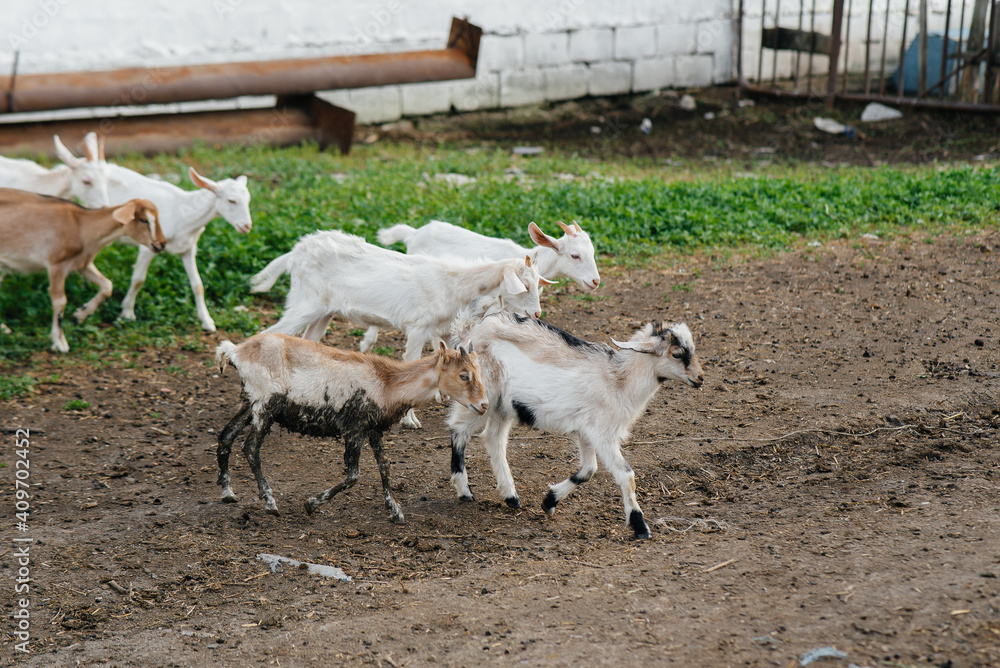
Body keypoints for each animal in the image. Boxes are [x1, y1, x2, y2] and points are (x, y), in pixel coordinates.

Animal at [0, 189, 164, 352]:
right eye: (144, 220)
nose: (161, 244)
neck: (81, 226)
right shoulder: (56, 263)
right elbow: (60, 301)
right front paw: (59, 343)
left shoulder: (82, 264)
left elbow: (107, 286)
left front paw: (79, 315)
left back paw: (4, 328)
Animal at [107, 164, 252, 331]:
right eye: (231, 201)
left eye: (248, 200)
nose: (247, 226)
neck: (183, 214)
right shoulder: (148, 247)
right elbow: (138, 280)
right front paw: (127, 313)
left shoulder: (188, 248)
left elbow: (198, 285)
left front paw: (207, 321)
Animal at [214, 333, 488, 524]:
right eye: (463, 375)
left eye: (479, 371)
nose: (484, 405)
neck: (385, 382)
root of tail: (235, 351)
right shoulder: (354, 429)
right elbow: (353, 475)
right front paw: (311, 503)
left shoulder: (373, 429)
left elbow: (384, 466)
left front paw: (396, 512)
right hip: (265, 405)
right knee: (250, 447)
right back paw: (270, 502)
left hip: (248, 402)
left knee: (226, 436)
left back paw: (228, 492)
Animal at [250, 229, 546, 428]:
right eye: (524, 285)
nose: (537, 313)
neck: (452, 284)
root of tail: (295, 253)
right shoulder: (418, 327)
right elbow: (412, 361)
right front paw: (410, 419)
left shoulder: (443, 328)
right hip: (305, 303)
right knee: (266, 334)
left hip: (323, 312)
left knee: (309, 341)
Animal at [447, 304, 703, 539]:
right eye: (677, 354)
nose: (700, 378)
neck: (617, 380)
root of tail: (471, 330)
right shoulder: (603, 434)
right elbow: (626, 475)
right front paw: (640, 526)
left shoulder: (586, 433)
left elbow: (588, 470)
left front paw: (549, 501)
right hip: (481, 395)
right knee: (459, 429)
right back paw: (464, 490)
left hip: (503, 405)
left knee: (493, 438)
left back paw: (511, 496)